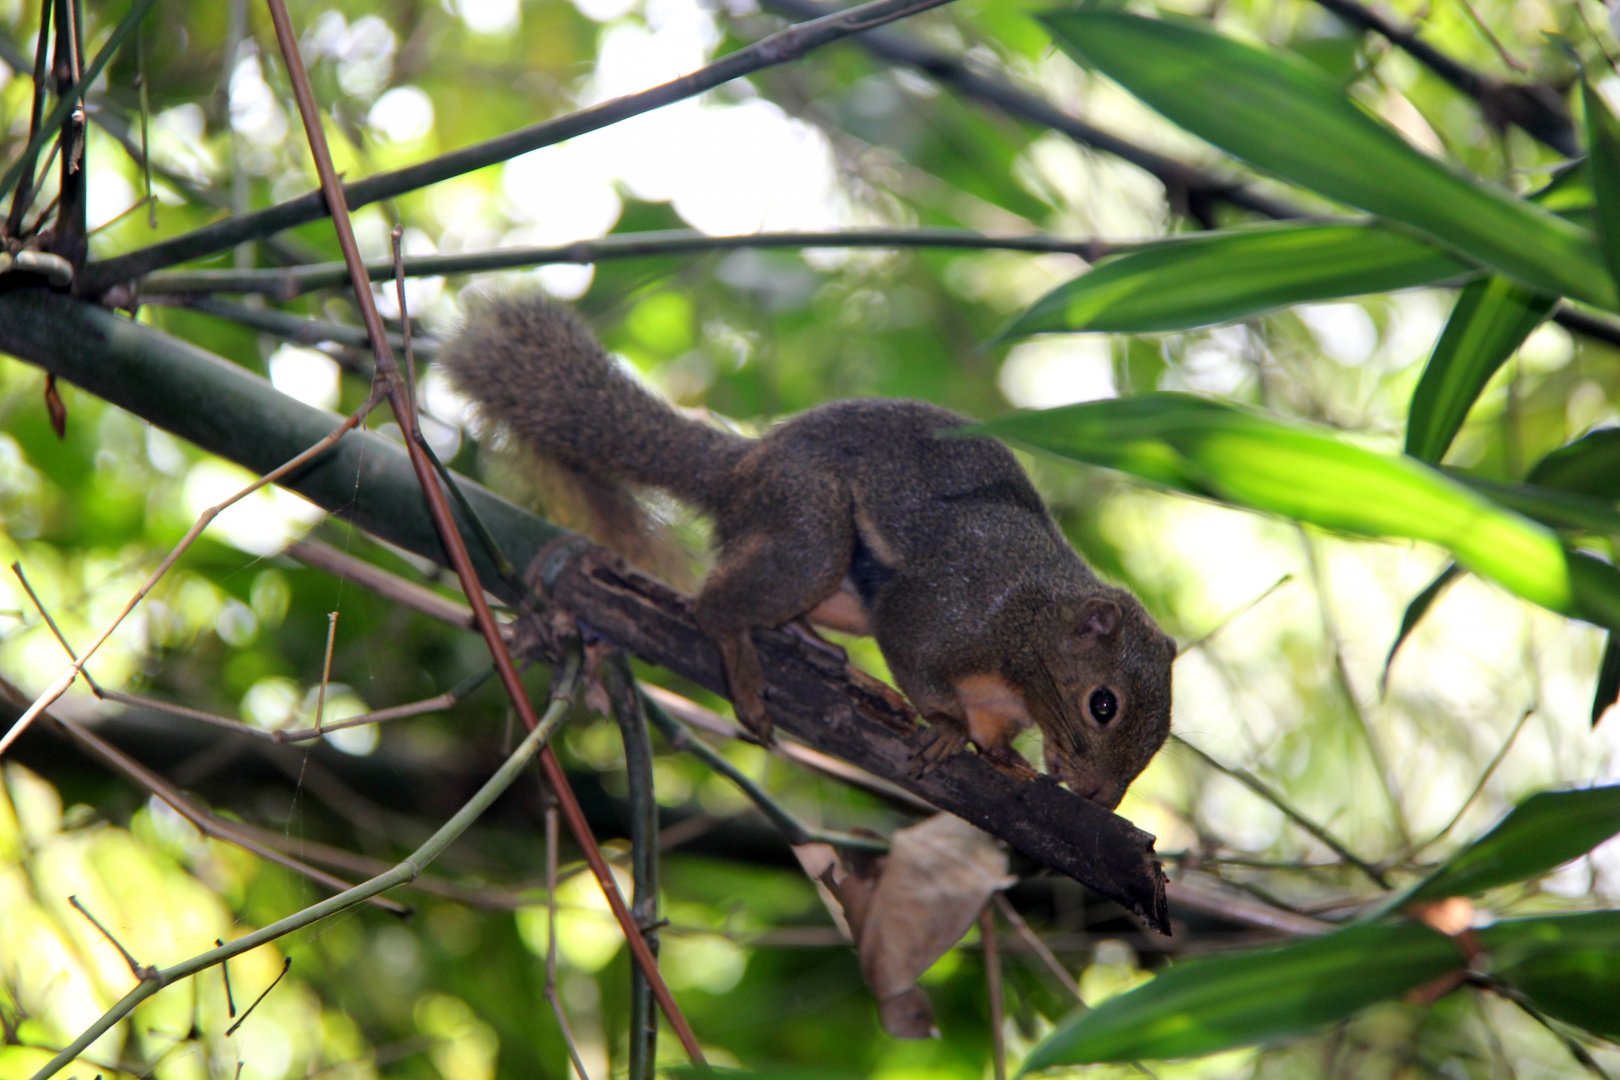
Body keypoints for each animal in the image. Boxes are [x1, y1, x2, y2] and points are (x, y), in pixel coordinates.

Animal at [439, 293, 1175, 808]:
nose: (1100, 798)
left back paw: (812, 647)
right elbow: (921, 660)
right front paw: (944, 727)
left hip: (835, 590)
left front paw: (1003, 756)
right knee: (714, 603)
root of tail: (741, 469)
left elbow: (993, 730)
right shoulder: (945, 608)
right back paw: (743, 661)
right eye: (1102, 705)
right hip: (810, 531)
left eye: (1163, 732)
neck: (1032, 623)